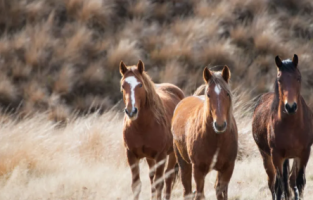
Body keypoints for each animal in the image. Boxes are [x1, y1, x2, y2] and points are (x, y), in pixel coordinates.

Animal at [119, 60, 183, 200]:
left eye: (140, 85)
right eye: (123, 85)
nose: (131, 111)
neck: (142, 127)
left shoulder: (161, 156)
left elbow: (159, 184)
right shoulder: (131, 155)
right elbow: (136, 185)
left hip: (172, 154)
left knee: (168, 178)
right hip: (150, 158)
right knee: (152, 177)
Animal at [171, 66, 236, 200]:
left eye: (227, 94)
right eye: (208, 94)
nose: (220, 125)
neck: (217, 139)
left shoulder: (228, 169)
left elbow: (221, 192)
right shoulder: (198, 170)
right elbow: (199, 193)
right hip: (184, 164)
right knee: (187, 190)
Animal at [251, 54, 312, 200]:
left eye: (298, 77)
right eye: (279, 79)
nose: (290, 107)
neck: (291, 126)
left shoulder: (304, 153)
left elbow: (298, 183)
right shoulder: (276, 156)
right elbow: (279, 188)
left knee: (290, 180)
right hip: (266, 156)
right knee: (273, 184)